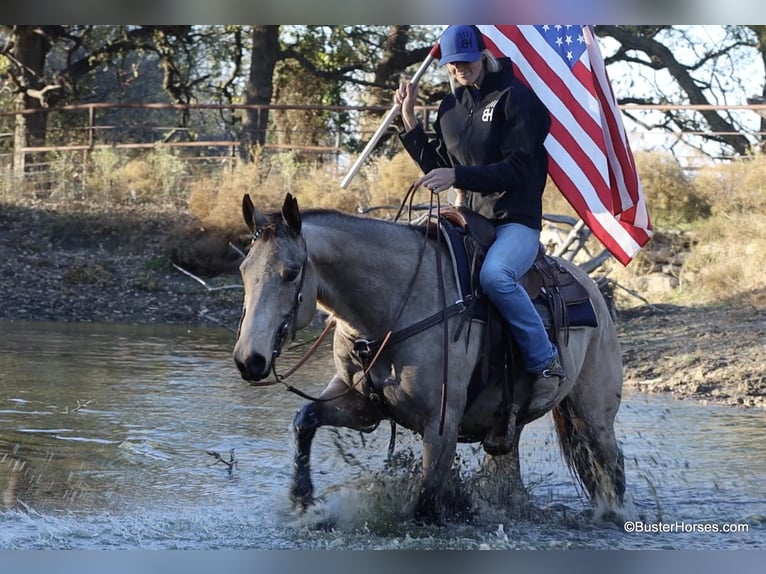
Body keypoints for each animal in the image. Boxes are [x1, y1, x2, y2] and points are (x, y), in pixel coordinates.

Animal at [231, 191, 628, 524]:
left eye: (290, 273)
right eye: (243, 270)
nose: (249, 359)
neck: (393, 308)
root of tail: (593, 290)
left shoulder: (441, 427)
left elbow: (423, 505)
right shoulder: (362, 407)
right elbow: (305, 419)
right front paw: (302, 499)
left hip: (594, 415)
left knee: (611, 465)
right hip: (510, 429)